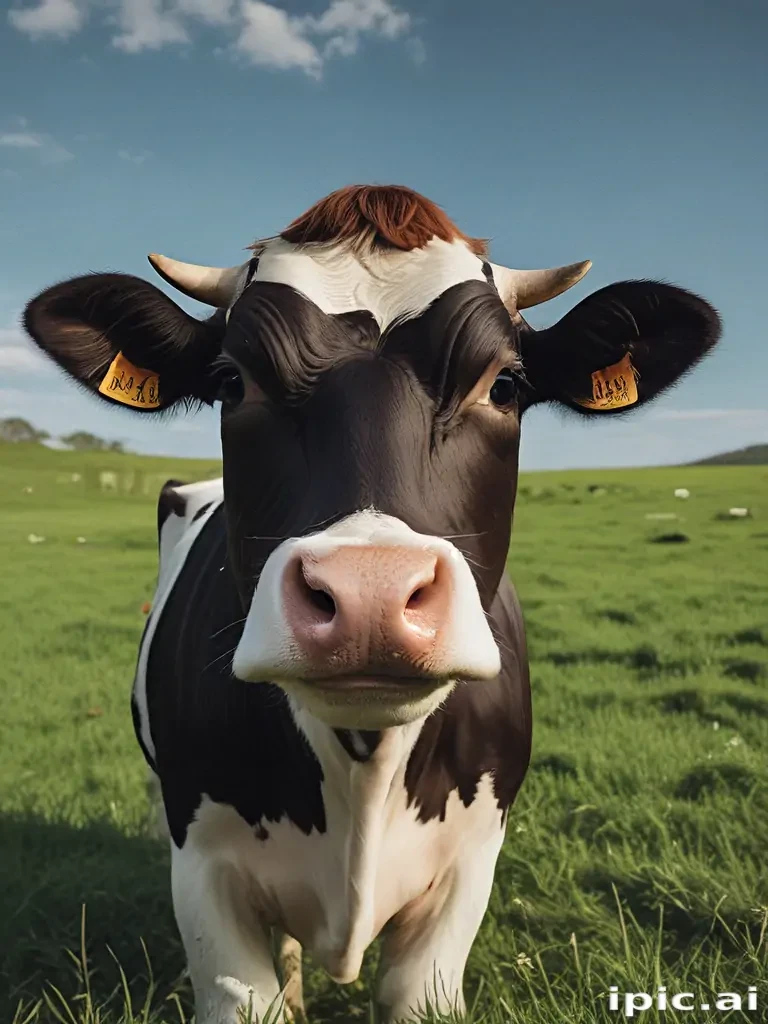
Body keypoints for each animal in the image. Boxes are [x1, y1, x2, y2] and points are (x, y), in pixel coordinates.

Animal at [23, 185, 721, 1024]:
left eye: (505, 385)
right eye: (232, 382)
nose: (371, 595)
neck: (362, 771)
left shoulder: (468, 870)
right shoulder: (204, 873)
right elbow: (246, 991)